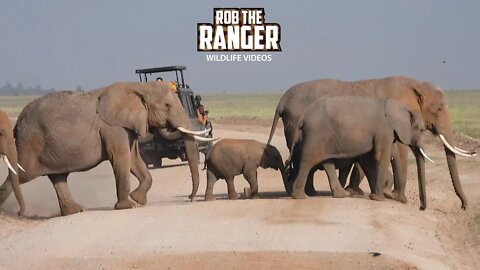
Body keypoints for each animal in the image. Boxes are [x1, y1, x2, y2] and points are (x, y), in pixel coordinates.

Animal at [0, 81, 216, 216]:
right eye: (167, 105)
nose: (189, 198)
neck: (138, 87)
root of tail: (17, 123)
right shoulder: (113, 128)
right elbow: (121, 158)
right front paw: (127, 206)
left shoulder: (127, 127)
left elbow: (134, 160)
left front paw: (138, 200)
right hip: (31, 144)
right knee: (20, 174)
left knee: (58, 177)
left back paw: (75, 211)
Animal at [284, 96, 432, 209]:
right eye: (421, 130)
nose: (421, 208)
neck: (399, 105)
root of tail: (303, 117)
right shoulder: (384, 129)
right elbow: (380, 157)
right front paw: (379, 198)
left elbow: (368, 161)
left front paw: (374, 196)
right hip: (316, 135)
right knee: (308, 161)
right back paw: (301, 196)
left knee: (326, 162)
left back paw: (341, 195)